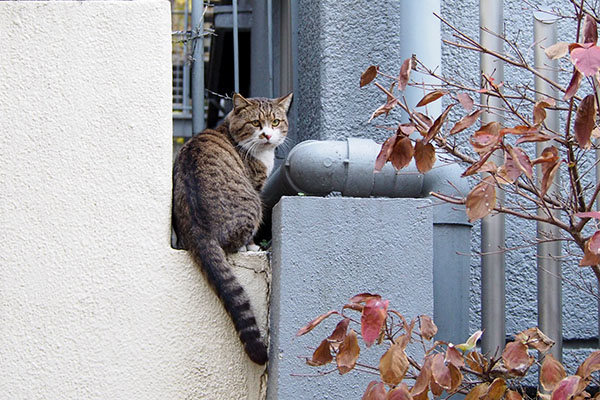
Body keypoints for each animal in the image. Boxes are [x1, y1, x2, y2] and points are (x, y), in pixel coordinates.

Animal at [172, 92, 294, 364]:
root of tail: (198, 228)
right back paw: (250, 247)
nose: (267, 135)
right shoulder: (257, 185)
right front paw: (254, 246)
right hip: (254, 205)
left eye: (276, 121)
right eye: (256, 123)